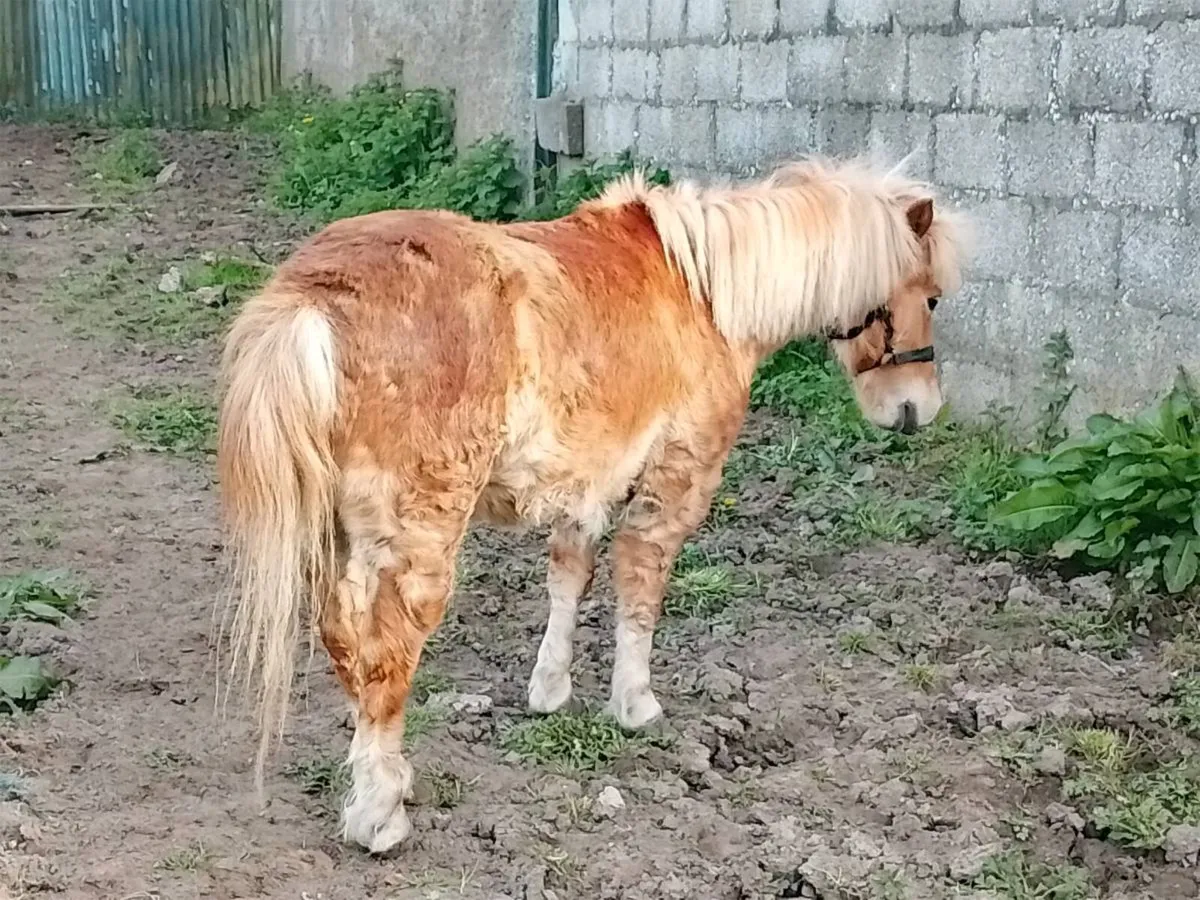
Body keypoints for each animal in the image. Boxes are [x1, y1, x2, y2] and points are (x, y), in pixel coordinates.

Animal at [215, 155, 969, 854]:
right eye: (931, 298)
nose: (917, 410)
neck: (706, 294)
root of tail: (314, 302)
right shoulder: (676, 482)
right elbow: (640, 584)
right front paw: (634, 703)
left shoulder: (586, 485)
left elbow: (568, 577)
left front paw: (549, 690)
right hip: (418, 536)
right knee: (386, 653)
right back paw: (380, 815)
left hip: (337, 535)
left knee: (344, 639)